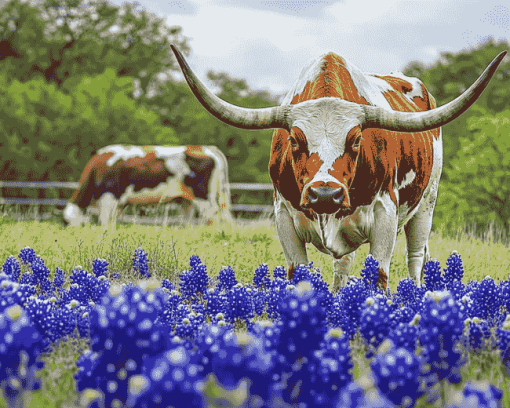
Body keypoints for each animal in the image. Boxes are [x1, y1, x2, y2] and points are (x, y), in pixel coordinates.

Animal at [63, 143, 233, 226]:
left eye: (70, 224)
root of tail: (206, 148)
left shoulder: (109, 198)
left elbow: (105, 223)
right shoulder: (117, 203)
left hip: (204, 197)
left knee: (213, 218)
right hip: (186, 201)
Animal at [171, 45, 506, 290]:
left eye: (356, 139)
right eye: (294, 139)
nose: (324, 195)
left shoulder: (385, 212)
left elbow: (379, 276)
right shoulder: (283, 215)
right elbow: (300, 274)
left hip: (427, 203)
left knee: (415, 258)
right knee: (343, 265)